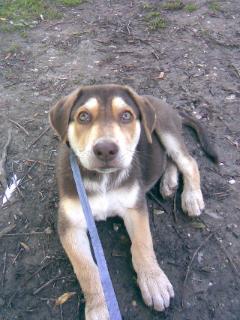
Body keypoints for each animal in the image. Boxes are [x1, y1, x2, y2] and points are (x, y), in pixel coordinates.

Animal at [49, 84, 218, 318]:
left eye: (126, 115)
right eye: (83, 116)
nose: (105, 150)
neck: (103, 179)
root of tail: (164, 104)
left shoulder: (134, 207)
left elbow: (142, 244)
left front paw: (154, 282)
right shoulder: (70, 225)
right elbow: (86, 268)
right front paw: (100, 307)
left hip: (166, 130)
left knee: (188, 161)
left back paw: (191, 197)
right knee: (168, 160)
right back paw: (169, 182)